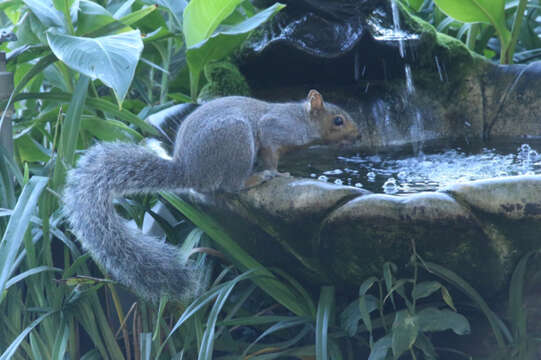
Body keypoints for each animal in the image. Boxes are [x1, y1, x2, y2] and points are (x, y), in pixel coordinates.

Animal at [62, 89, 358, 300]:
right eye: (338, 120)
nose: (358, 135)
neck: (301, 119)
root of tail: (189, 170)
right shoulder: (274, 131)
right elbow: (271, 155)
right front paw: (278, 173)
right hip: (236, 139)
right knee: (231, 186)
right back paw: (255, 178)